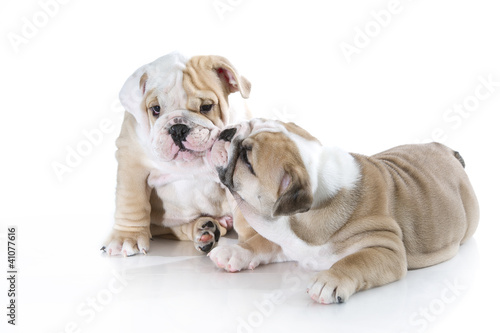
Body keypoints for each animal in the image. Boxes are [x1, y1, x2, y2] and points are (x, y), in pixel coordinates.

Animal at [102, 51, 250, 254]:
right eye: (155, 109)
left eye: (206, 107)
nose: (178, 128)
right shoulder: (132, 161)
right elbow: (132, 201)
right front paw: (126, 237)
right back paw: (204, 230)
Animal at [208, 118, 480, 302]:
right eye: (249, 123)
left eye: (247, 159)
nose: (228, 131)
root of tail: (447, 151)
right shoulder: (283, 237)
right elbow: (261, 242)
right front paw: (235, 252)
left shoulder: (386, 248)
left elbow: (354, 260)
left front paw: (330, 280)